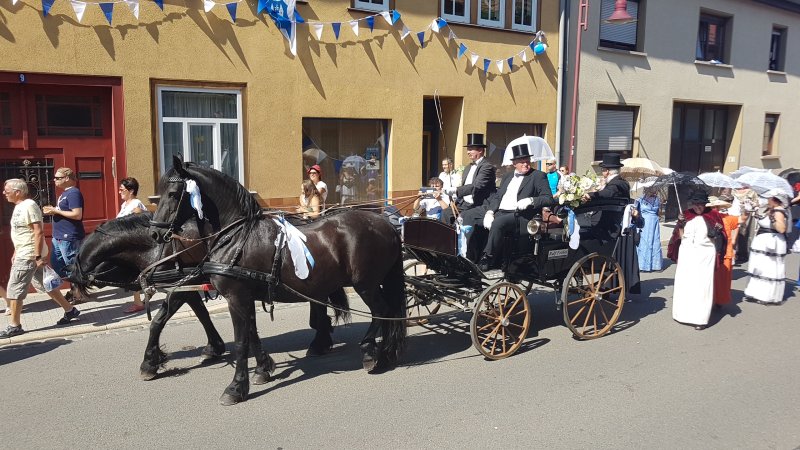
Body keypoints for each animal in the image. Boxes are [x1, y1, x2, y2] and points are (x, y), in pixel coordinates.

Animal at [149, 156, 406, 406]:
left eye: (173, 193)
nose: (154, 233)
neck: (236, 236)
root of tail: (387, 225)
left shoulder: (236, 296)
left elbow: (242, 341)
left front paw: (236, 387)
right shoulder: (246, 296)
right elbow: (252, 333)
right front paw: (263, 369)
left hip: (366, 285)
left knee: (382, 312)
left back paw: (373, 352)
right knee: (387, 313)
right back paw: (384, 353)